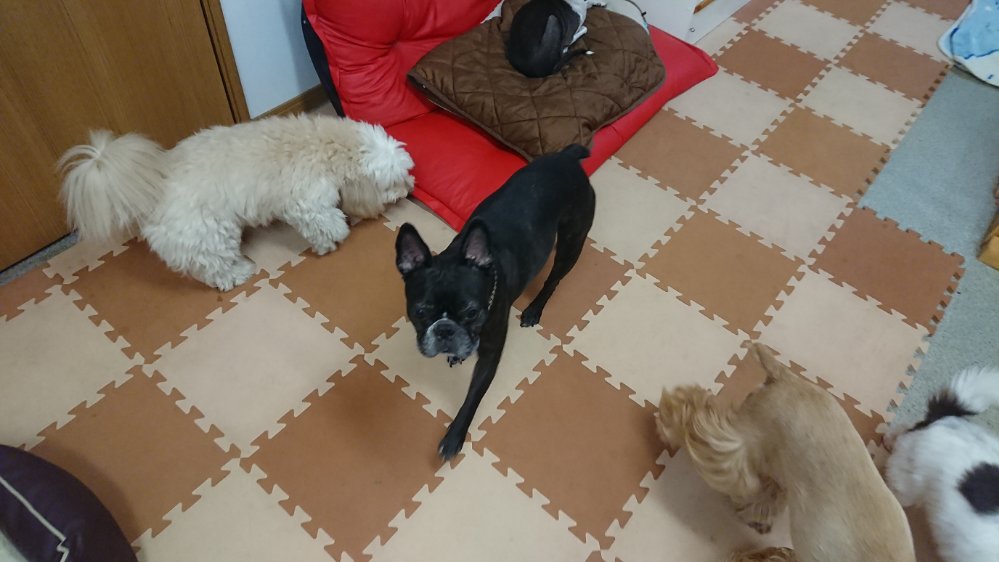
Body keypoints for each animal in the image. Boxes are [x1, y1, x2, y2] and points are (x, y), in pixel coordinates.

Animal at [58, 113, 415, 291]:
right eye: (393, 183)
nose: (410, 187)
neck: (327, 146)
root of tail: (153, 187)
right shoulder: (307, 202)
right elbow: (324, 223)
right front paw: (334, 239)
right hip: (207, 233)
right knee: (214, 267)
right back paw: (237, 273)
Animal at [395, 143, 595, 460]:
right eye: (420, 312)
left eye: (472, 312)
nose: (445, 330)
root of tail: (567, 158)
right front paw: (457, 353)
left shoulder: (490, 355)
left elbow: (472, 397)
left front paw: (453, 438)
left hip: (571, 242)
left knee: (554, 279)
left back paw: (534, 309)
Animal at [656, 343, 915, 562]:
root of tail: (785, 377)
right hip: (743, 444)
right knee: (702, 427)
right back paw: (670, 414)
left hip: (780, 460)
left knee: (764, 490)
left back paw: (756, 518)